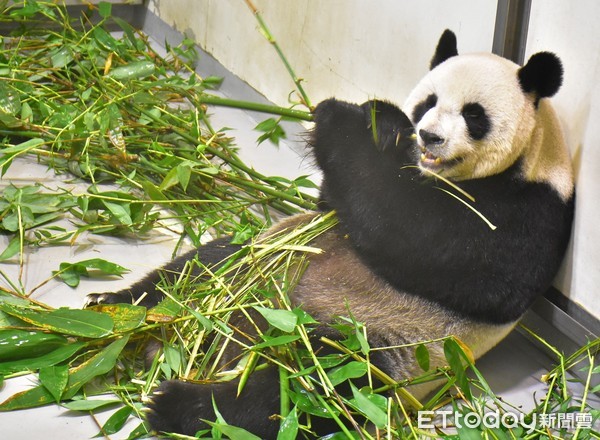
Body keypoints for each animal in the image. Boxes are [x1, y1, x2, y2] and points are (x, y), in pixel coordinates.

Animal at [86, 29, 576, 438]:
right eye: (428, 102)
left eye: (474, 115)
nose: (429, 137)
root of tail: (223, 345)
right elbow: (338, 201)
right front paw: (380, 118)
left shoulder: (531, 213)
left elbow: (423, 239)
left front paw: (337, 118)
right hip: (249, 261)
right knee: (195, 271)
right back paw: (118, 312)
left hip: (377, 342)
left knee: (306, 387)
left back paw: (182, 406)